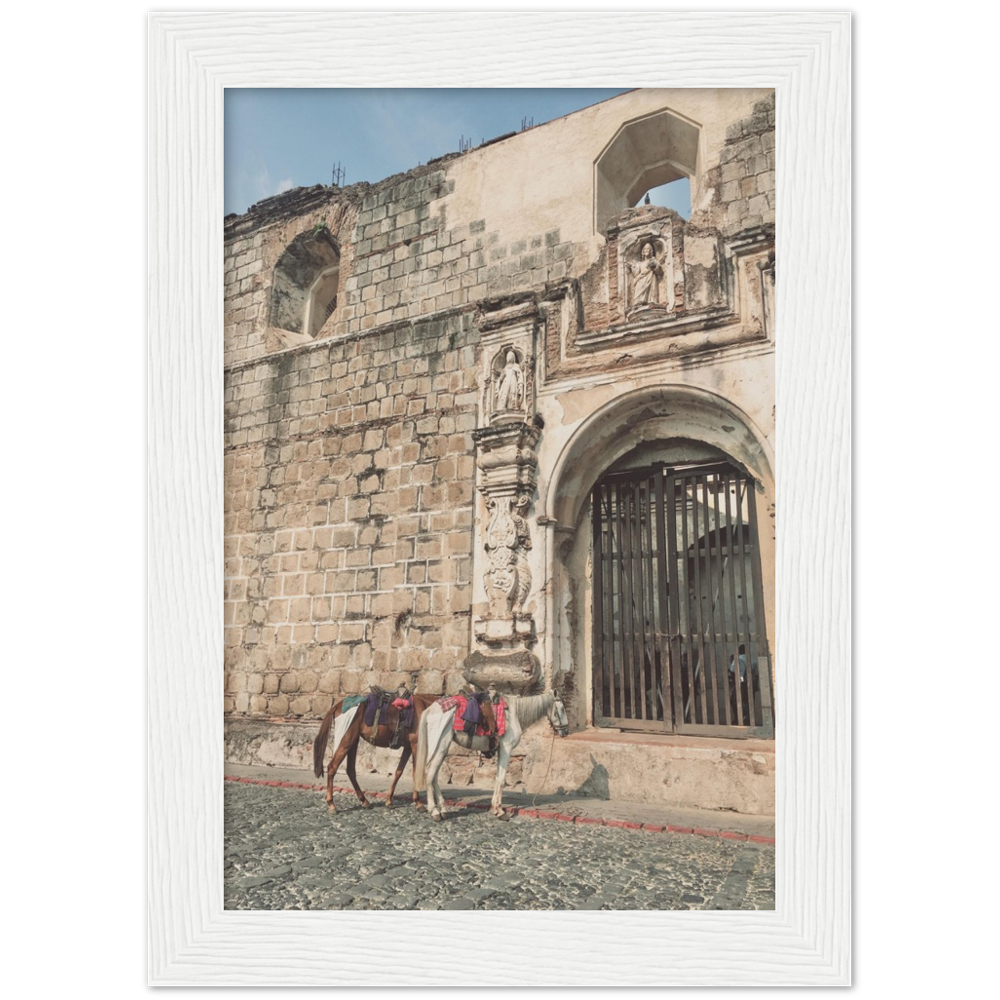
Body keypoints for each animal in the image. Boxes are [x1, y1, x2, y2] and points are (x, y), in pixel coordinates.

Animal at [414, 692, 572, 824]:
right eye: (562, 709)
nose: (566, 731)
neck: (514, 713)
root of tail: (430, 710)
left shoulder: (500, 750)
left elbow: (497, 778)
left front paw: (494, 808)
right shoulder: (506, 749)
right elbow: (501, 780)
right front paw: (501, 812)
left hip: (442, 749)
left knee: (434, 776)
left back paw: (443, 809)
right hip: (439, 746)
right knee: (430, 775)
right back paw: (434, 811)